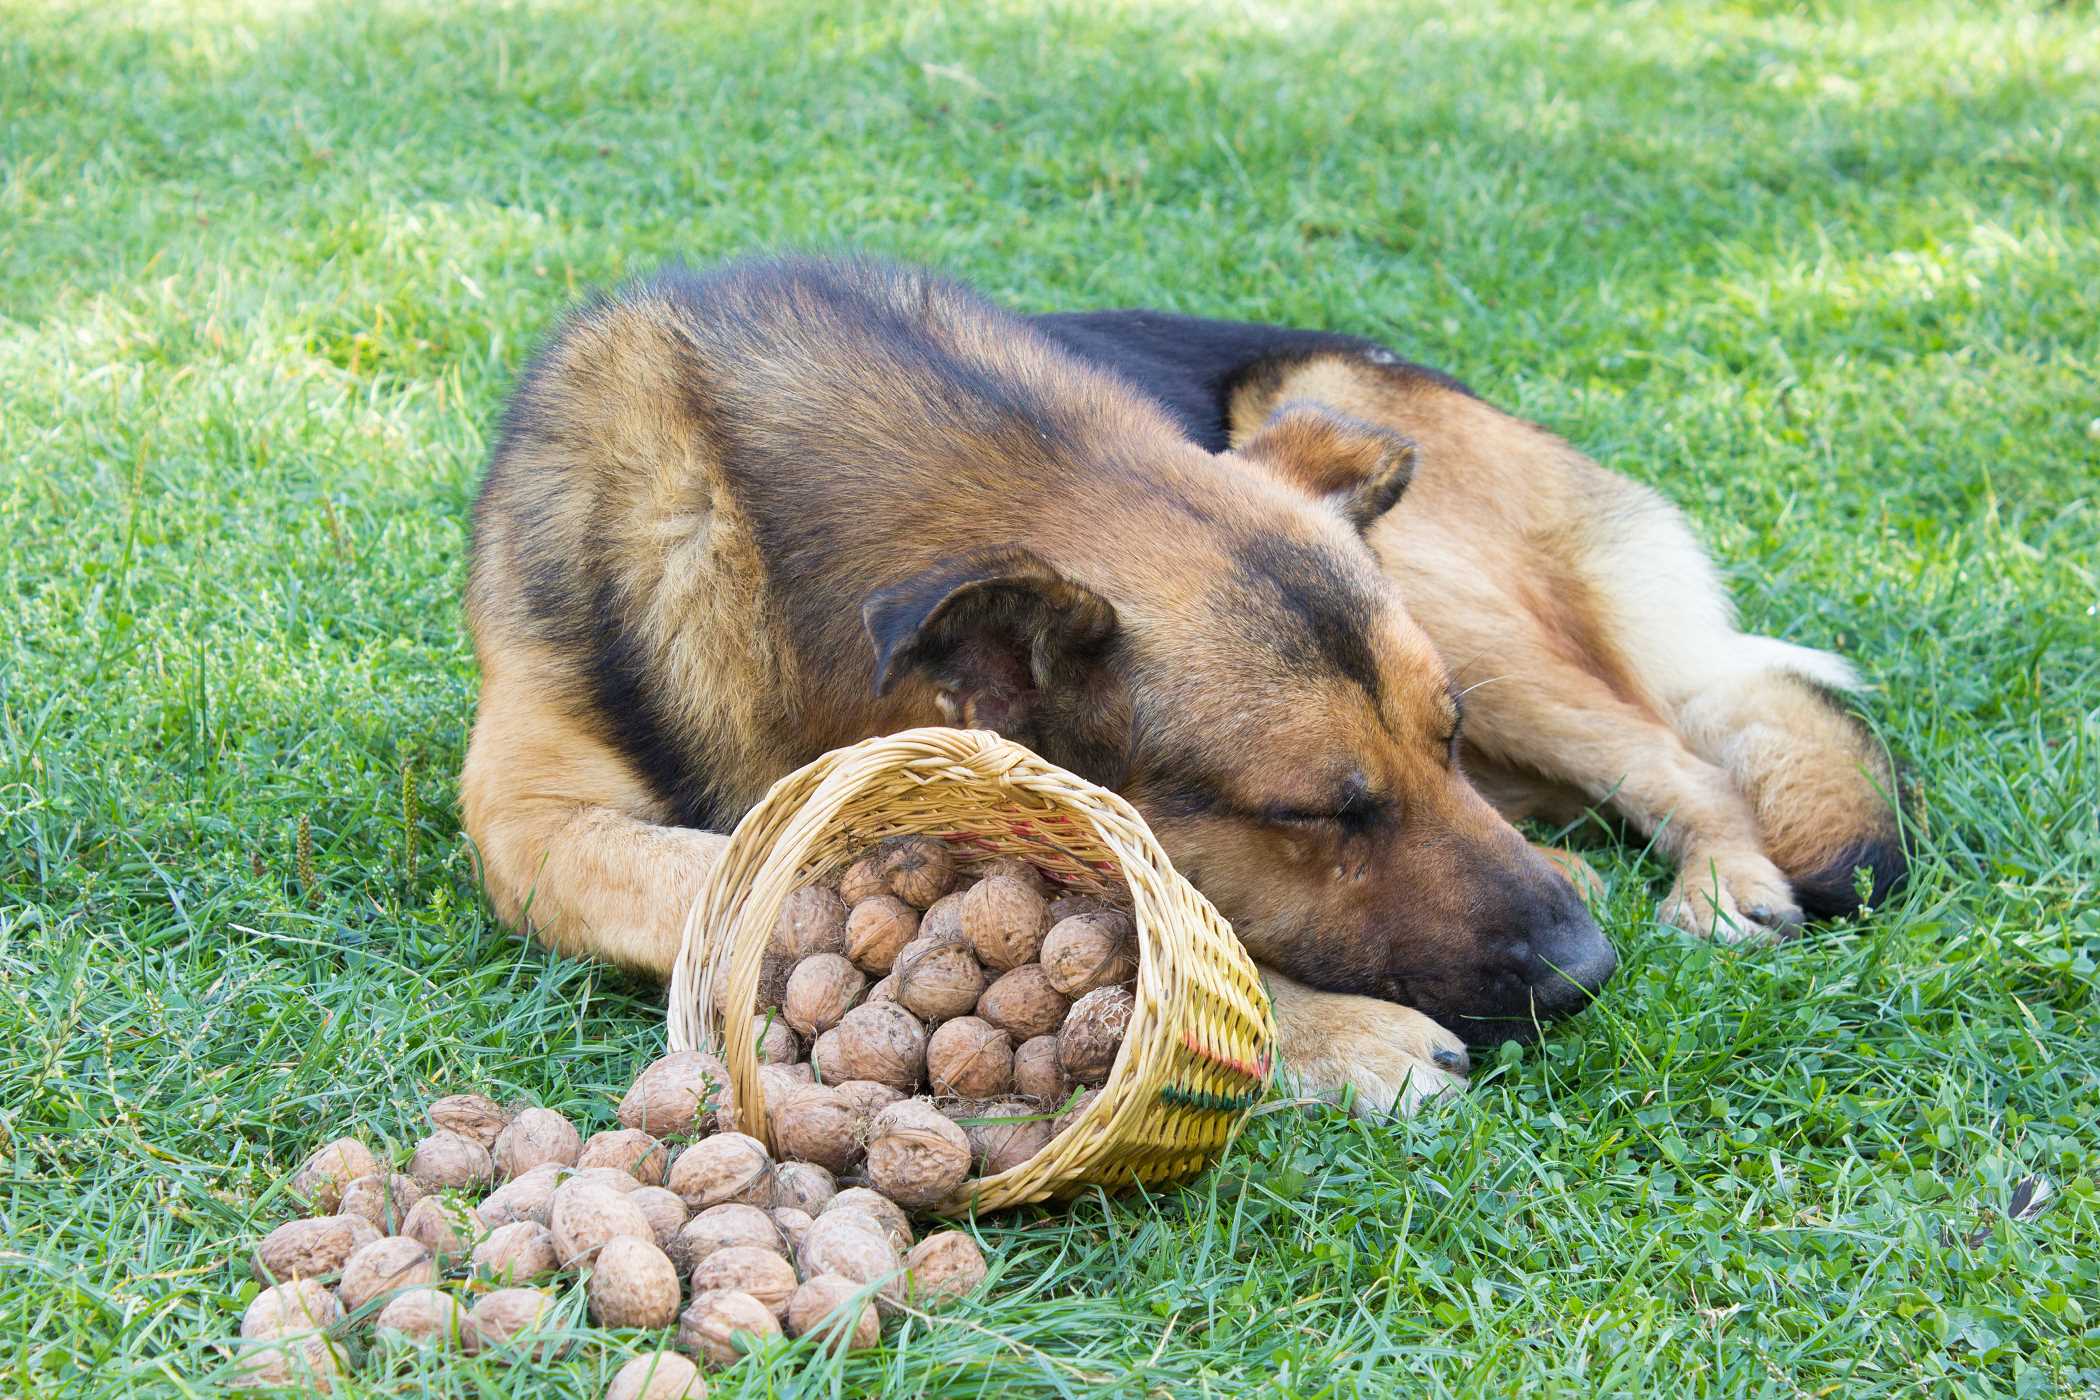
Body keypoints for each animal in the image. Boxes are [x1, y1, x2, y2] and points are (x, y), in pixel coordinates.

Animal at [459, 257, 1906, 1116]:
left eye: (1435, 743)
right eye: (1319, 815)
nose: (1588, 977)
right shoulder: (534, 833)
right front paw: (1333, 1028)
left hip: (1457, 591)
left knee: (1683, 748)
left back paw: (1719, 877)